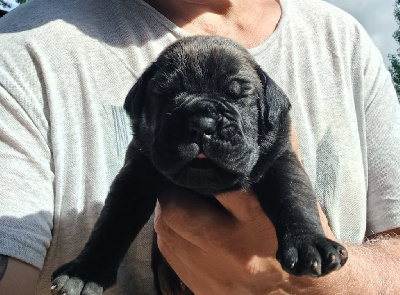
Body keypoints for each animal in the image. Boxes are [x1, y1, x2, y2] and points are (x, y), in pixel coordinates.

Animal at [52, 36, 346, 295]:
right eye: (166, 94)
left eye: (239, 96)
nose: (202, 124)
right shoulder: (135, 175)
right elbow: (113, 222)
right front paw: (84, 273)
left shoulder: (280, 159)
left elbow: (293, 197)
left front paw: (310, 244)